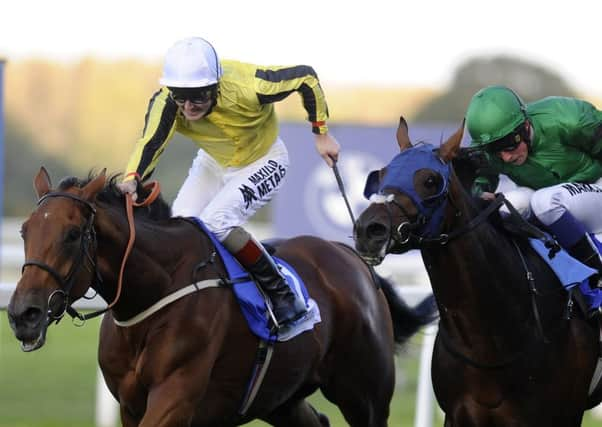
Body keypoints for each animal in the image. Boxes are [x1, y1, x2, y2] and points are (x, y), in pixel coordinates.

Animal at [7, 167, 434, 427]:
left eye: (72, 235)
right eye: (25, 231)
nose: (23, 313)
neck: (154, 293)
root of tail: (353, 258)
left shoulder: (175, 398)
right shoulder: (130, 405)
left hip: (365, 393)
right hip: (281, 397)